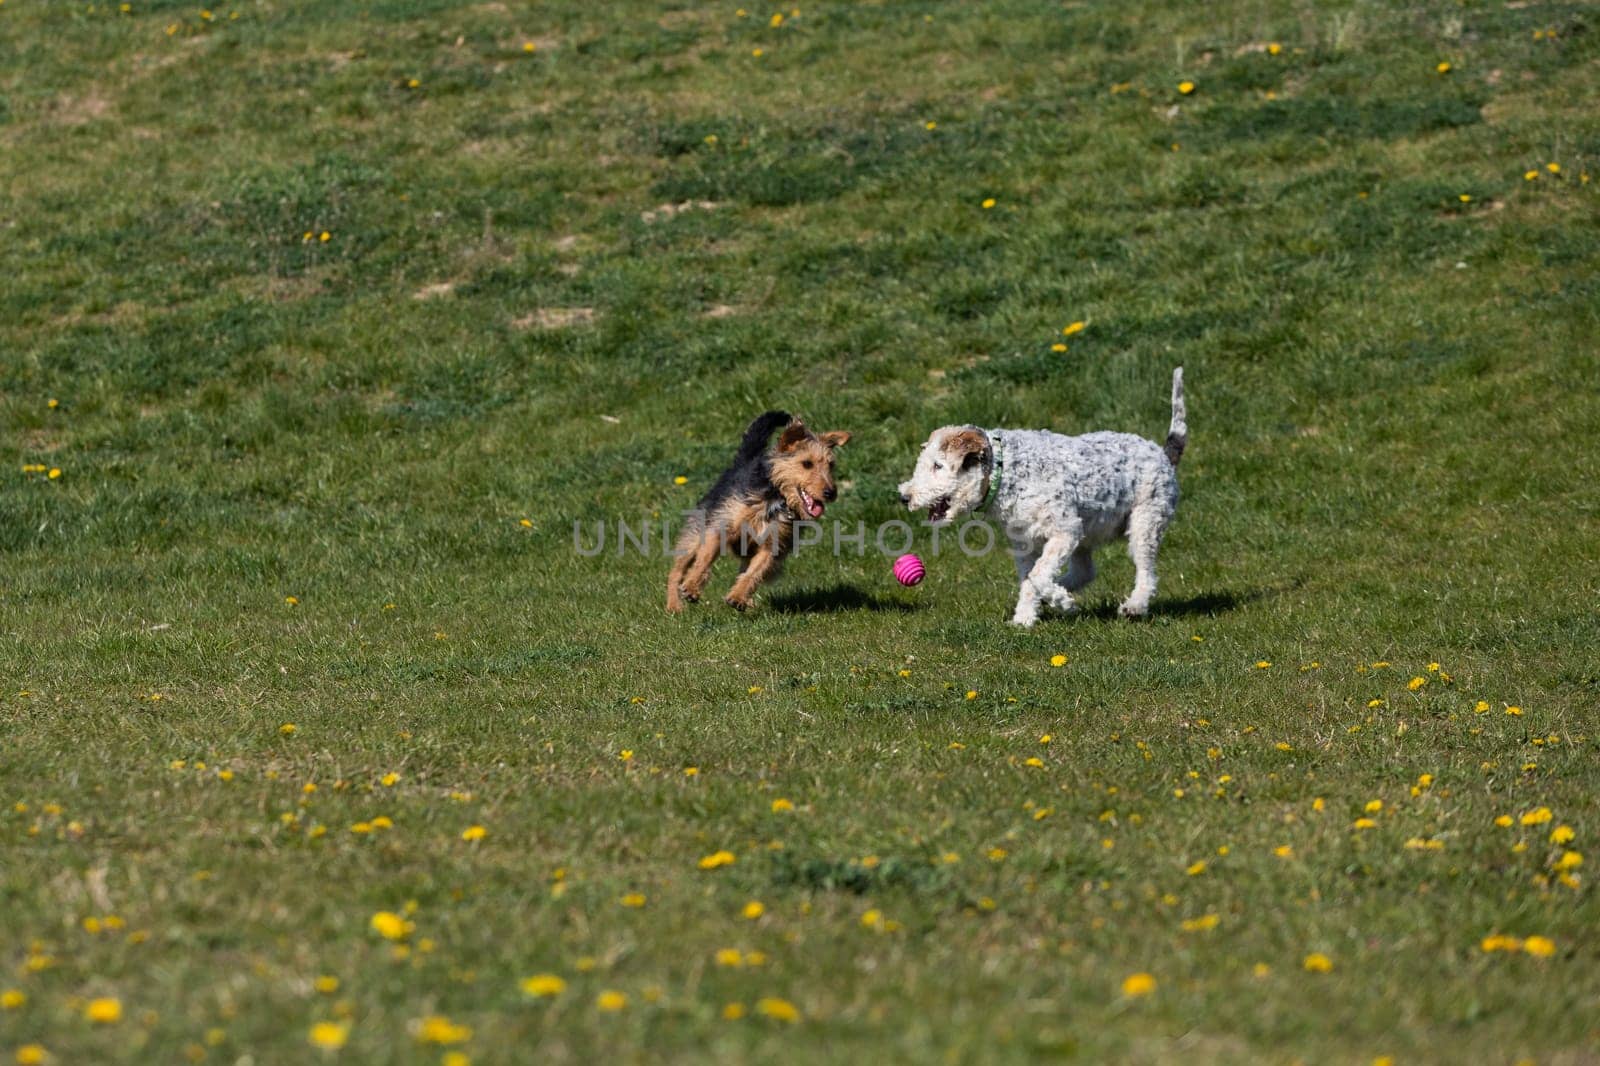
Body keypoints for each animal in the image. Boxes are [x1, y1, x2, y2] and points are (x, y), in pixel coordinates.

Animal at [665, 416, 851, 614]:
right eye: (807, 463)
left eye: (831, 465)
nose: (831, 493)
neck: (777, 499)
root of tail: (743, 462)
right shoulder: (721, 526)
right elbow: (704, 560)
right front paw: (692, 587)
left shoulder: (772, 545)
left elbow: (754, 572)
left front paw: (738, 597)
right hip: (695, 534)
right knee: (676, 570)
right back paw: (674, 605)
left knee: (745, 572)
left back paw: (745, 599)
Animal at [902, 369, 1190, 627]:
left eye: (938, 465)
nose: (905, 496)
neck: (1006, 471)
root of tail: (1164, 453)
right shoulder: (1025, 543)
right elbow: (1030, 578)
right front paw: (1024, 619)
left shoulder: (1064, 531)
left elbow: (1038, 575)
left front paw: (1060, 602)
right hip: (1087, 533)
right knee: (1085, 571)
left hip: (1144, 522)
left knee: (1146, 574)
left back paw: (1132, 606)